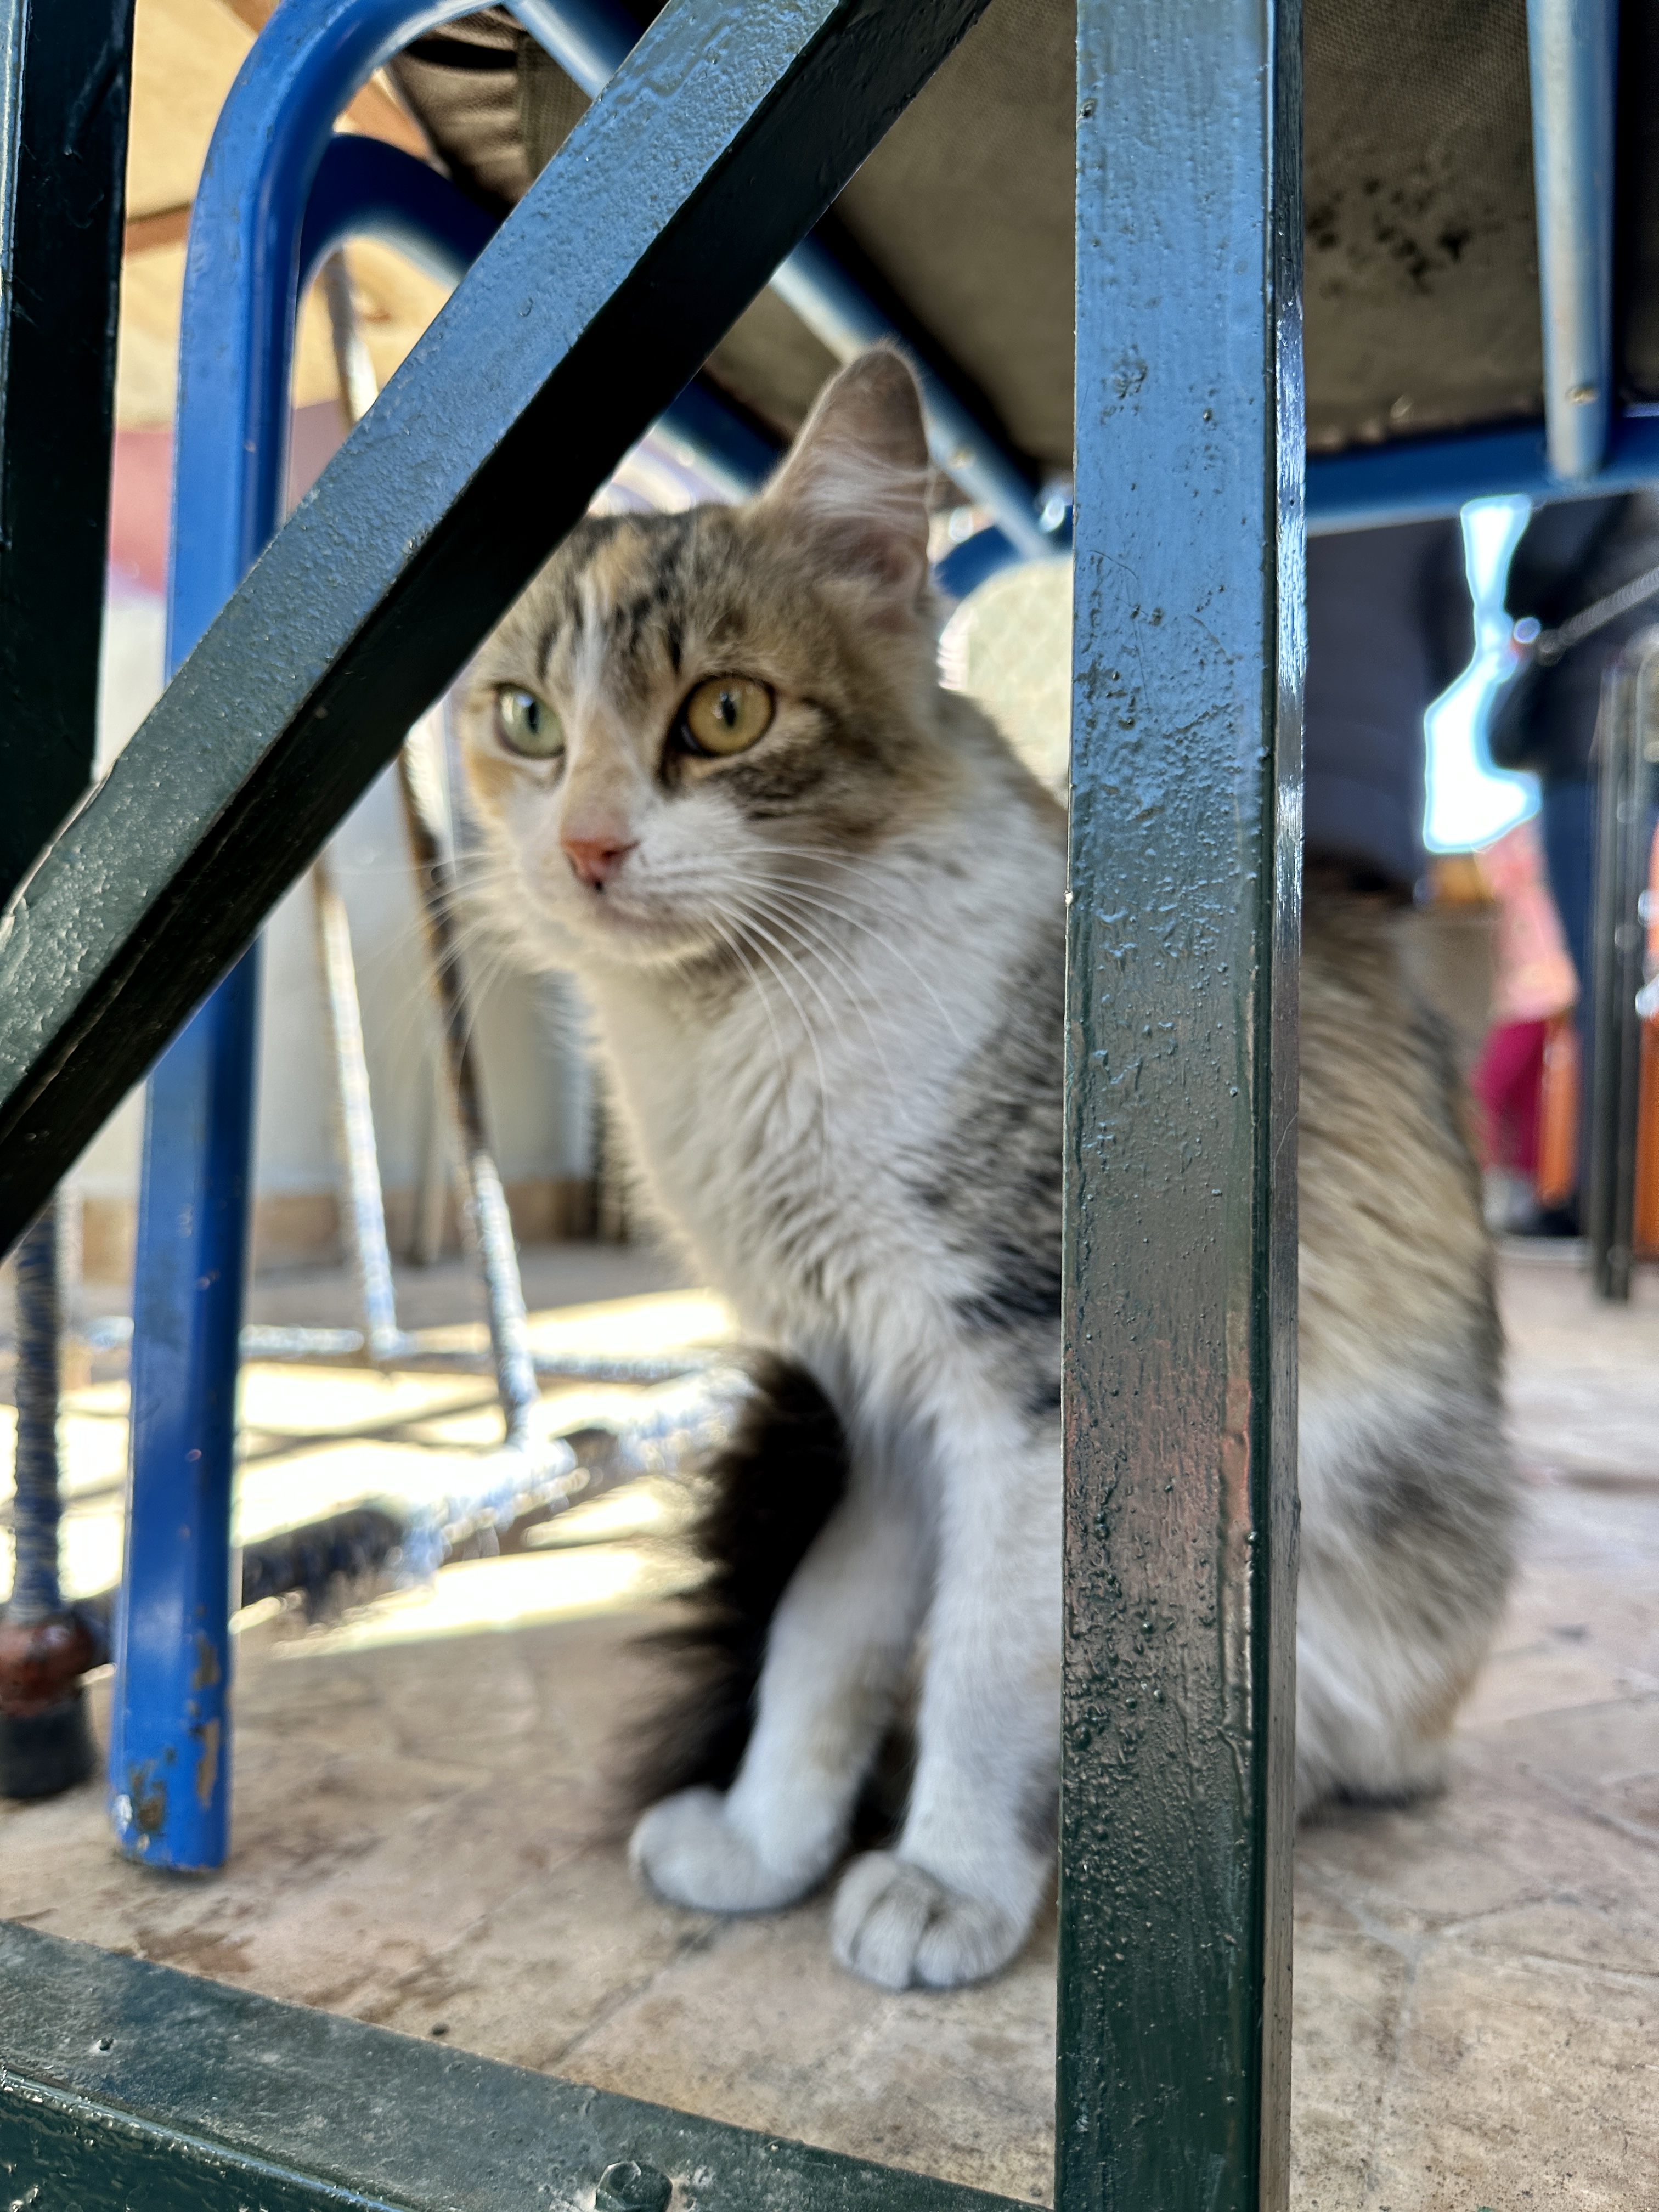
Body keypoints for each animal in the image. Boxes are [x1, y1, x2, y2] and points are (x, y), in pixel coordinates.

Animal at [457, 346, 1518, 1990]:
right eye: (523, 720)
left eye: (726, 713)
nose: (583, 849)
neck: (742, 1029)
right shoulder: (874, 1401)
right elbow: (821, 1633)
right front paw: (771, 1843)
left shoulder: (1029, 1383)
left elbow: (985, 1659)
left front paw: (948, 1877)